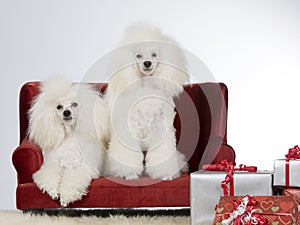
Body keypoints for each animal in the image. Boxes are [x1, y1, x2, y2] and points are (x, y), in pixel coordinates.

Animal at [28, 78, 108, 207]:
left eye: (74, 104)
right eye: (59, 106)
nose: (66, 112)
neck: (69, 137)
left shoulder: (80, 168)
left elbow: (72, 180)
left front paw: (65, 197)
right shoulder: (52, 166)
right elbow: (49, 176)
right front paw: (53, 191)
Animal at [105, 23, 189, 180]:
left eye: (154, 54)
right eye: (138, 55)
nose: (147, 63)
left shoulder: (161, 127)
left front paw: (166, 175)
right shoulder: (130, 127)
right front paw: (130, 174)